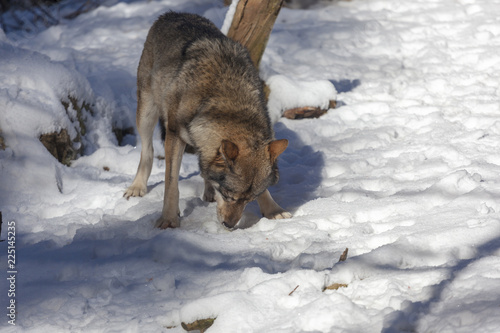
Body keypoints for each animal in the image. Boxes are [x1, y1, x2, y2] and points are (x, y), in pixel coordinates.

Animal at [122, 11, 292, 228]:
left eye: (249, 200)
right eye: (228, 195)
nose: (229, 225)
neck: (230, 105)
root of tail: (171, 13)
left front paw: (273, 210)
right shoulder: (175, 136)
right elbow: (171, 183)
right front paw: (169, 219)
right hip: (146, 113)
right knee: (147, 150)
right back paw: (137, 187)